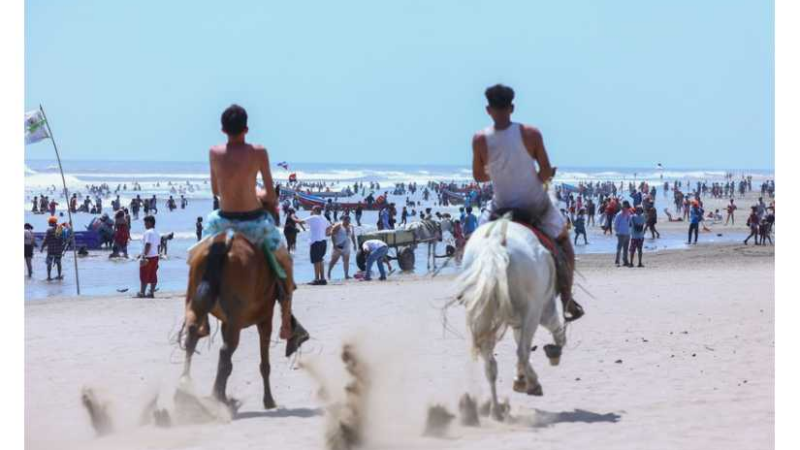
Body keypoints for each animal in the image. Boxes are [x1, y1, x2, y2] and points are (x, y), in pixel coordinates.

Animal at [180, 202, 294, 410]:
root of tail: (225, 240)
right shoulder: (265, 319)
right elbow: (264, 364)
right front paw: (268, 400)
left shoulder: (227, 322)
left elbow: (230, 365)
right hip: (237, 318)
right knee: (225, 350)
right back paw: (215, 397)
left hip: (196, 303)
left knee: (192, 337)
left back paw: (186, 388)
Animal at [450, 216, 568, 420]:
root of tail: (494, 245)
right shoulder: (542, 309)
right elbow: (553, 331)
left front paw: (523, 379)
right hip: (533, 311)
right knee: (523, 351)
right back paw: (530, 383)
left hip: (484, 314)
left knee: (490, 364)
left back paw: (496, 410)